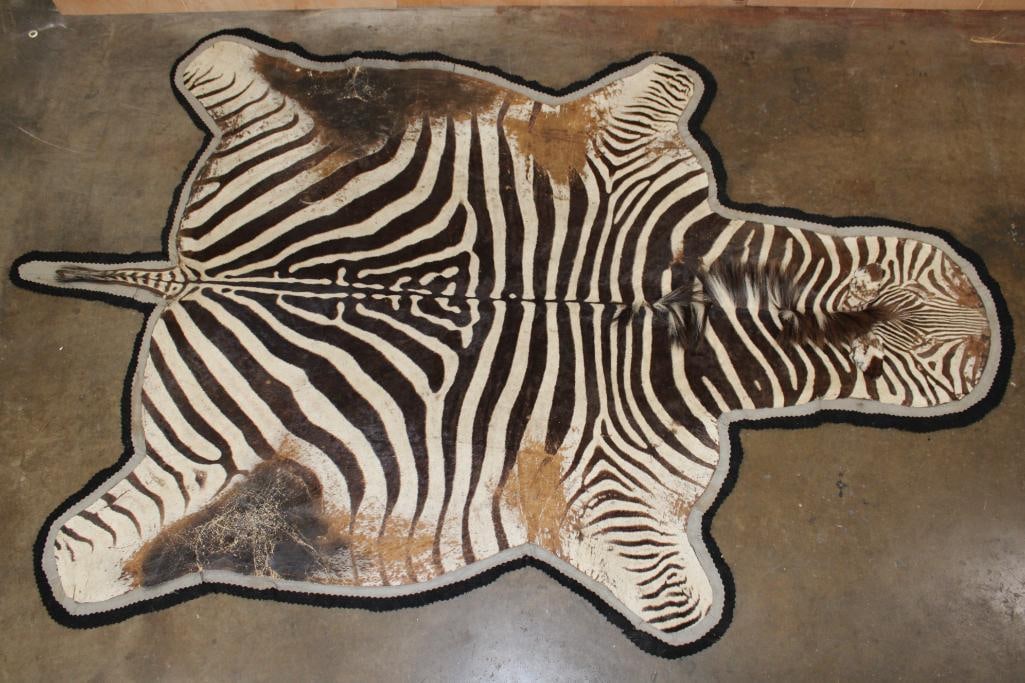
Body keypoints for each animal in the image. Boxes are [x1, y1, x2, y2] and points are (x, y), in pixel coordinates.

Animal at [13, 34, 1001, 649]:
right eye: (949, 357)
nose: (991, 328)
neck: (696, 302)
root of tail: (193, 272)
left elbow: (668, 81)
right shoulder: (615, 485)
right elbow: (681, 603)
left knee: (229, 61)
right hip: (220, 474)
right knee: (83, 556)